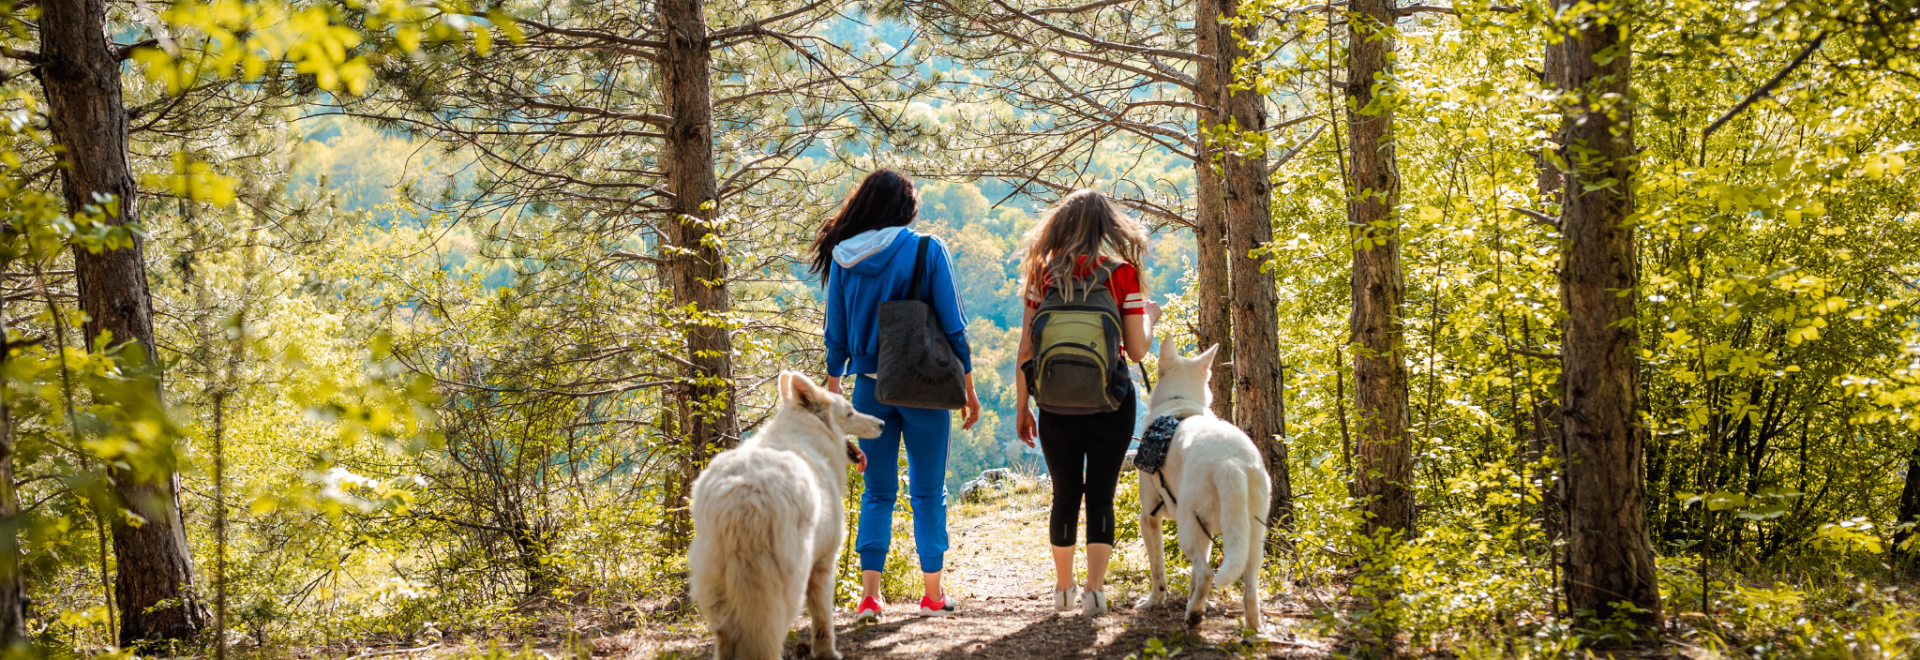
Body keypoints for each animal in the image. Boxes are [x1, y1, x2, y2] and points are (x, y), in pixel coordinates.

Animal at [691, 372, 883, 660]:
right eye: (850, 413)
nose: (882, 423)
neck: (809, 434)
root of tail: (744, 498)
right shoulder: (823, 566)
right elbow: (823, 619)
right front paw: (827, 653)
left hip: (718, 590)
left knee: (726, 637)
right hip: (784, 589)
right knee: (767, 638)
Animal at [1136, 339, 1274, 629]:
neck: (1179, 401)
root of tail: (1231, 461)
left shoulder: (1149, 517)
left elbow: (1158, 571)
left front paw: (1154, 602)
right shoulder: (1207, 532)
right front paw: (1192, 598)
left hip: (1187, 530)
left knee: (1207, 572)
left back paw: (1193, 616)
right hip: (1253, 537)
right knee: (1249, 588)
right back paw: (1251, 627)